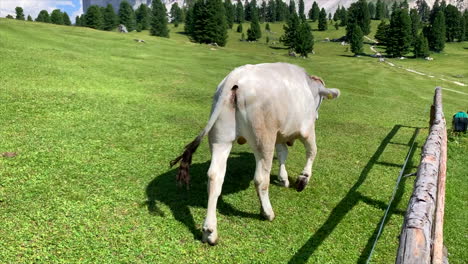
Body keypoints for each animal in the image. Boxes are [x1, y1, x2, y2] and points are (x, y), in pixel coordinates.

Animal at [170, 62, 338, 245]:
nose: (317, 116)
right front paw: (303, 179)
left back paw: (210, 231)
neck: (308, 86)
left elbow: (283, 153)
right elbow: (312, 151)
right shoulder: (306, 129)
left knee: (215, 177)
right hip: (263, 138)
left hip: (221, 138)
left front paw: (283, 178)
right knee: (260, 179)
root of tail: (235, 77)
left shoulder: (280, 134)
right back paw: (267, 212)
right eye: (322, 100)